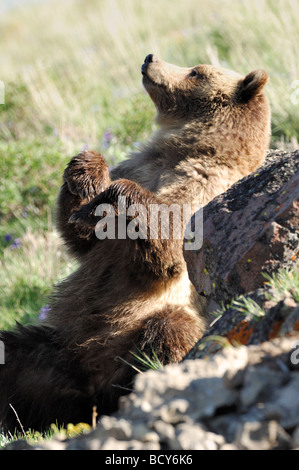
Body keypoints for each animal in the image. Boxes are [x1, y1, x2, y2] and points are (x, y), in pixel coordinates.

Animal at [0, 53, 272, 432]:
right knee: (15, 357)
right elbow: (82, 236)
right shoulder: (142, 165)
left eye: (196, 71)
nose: (150, 57)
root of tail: (94, 391)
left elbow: (171, 248)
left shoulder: (206, 189)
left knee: (170, 330)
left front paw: (114, 194)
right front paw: (86, 170)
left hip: (138, 332)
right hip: (58, 351)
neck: (183, 151)